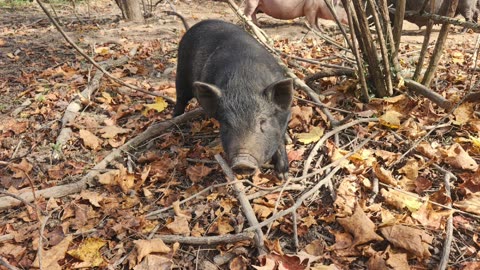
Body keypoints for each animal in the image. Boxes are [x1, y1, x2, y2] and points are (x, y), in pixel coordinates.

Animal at [172, 19, 292, 175]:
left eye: (262, 121)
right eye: (226, 124)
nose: (243, 163)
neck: (244, 84)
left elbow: (280, 139)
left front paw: (283, 173)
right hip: (181, 71)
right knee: (180, 98)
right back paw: (175, 120)